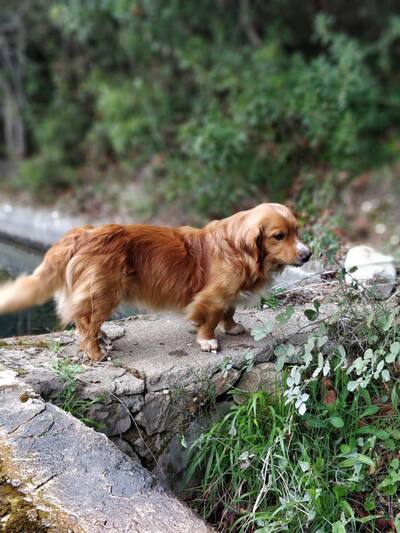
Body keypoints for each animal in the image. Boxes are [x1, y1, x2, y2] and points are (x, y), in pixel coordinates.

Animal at [0, 204, 310, 362]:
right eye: (279, 236)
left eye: (297, 231)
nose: (308, 255)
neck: (237, 248)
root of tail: (81, 234)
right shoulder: (213, 295)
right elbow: (210, 318)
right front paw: (208, 340)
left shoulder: (228, 294)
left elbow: (229, 310)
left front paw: (232, 327)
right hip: (105, 293)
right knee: (86, 324)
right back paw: (96, 352)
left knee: (84, 321)